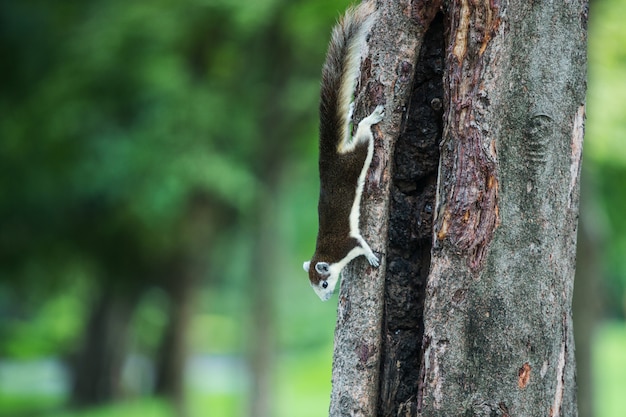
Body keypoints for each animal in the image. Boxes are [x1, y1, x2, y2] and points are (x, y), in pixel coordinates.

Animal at [302, 2, 382, 302]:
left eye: (324, 284)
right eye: (313, 288)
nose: (325, 300)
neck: (327, 253)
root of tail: (328, 160)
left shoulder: (347, 243)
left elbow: (362, 243)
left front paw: (371, 257)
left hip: (355, 159)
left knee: (363, 137)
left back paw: (369, 119)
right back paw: (349, 110)